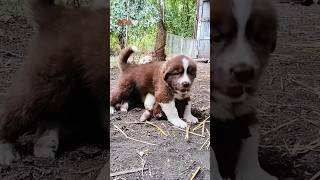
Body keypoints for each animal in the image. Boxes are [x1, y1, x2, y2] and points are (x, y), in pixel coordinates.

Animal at [0, 0, 109, 165]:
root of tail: (57, 14)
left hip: (63, 83)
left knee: (51, 114)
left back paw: (44, 146)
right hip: (45, 80)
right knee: (14, 110)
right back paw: (5, 150)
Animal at [212, 0, 278, 180]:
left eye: (258, 38)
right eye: (216, 38)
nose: (244, 72)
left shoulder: (247, 114)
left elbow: (250, 147)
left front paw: (255, 174)